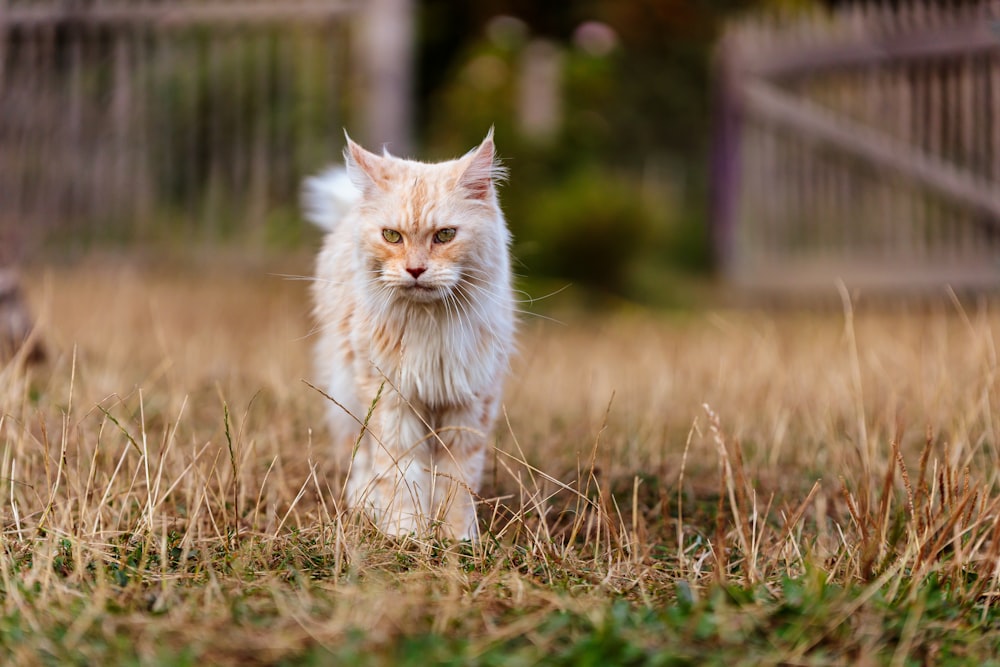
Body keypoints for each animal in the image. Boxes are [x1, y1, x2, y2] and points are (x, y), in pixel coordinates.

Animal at [300, 132, 512, 544]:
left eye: (445, 235)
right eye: (391, 236)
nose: (415, 270)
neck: (429, 325)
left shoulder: (469, 405)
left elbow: (456, 479)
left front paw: (457, 538)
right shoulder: (393, 403)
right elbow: (401, 474)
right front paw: (405, 532)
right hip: (350, 391)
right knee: (361, 459)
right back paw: (366, 505)